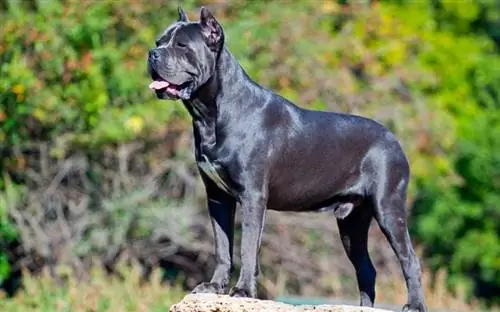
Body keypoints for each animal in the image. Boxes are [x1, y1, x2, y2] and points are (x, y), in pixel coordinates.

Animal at [146, 7, 428, 312]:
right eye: (160, 41)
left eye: (181, 46)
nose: (153, 53)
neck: (210, 114)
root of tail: (393, 138)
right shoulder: (217, 197)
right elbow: (222, 245)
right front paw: (214, 287)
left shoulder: (253, 196)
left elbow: (247, 247)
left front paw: (243, 291)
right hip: (352, 221)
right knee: (366, 269)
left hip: (388, 207)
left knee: (410, 259)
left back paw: (414, 305)